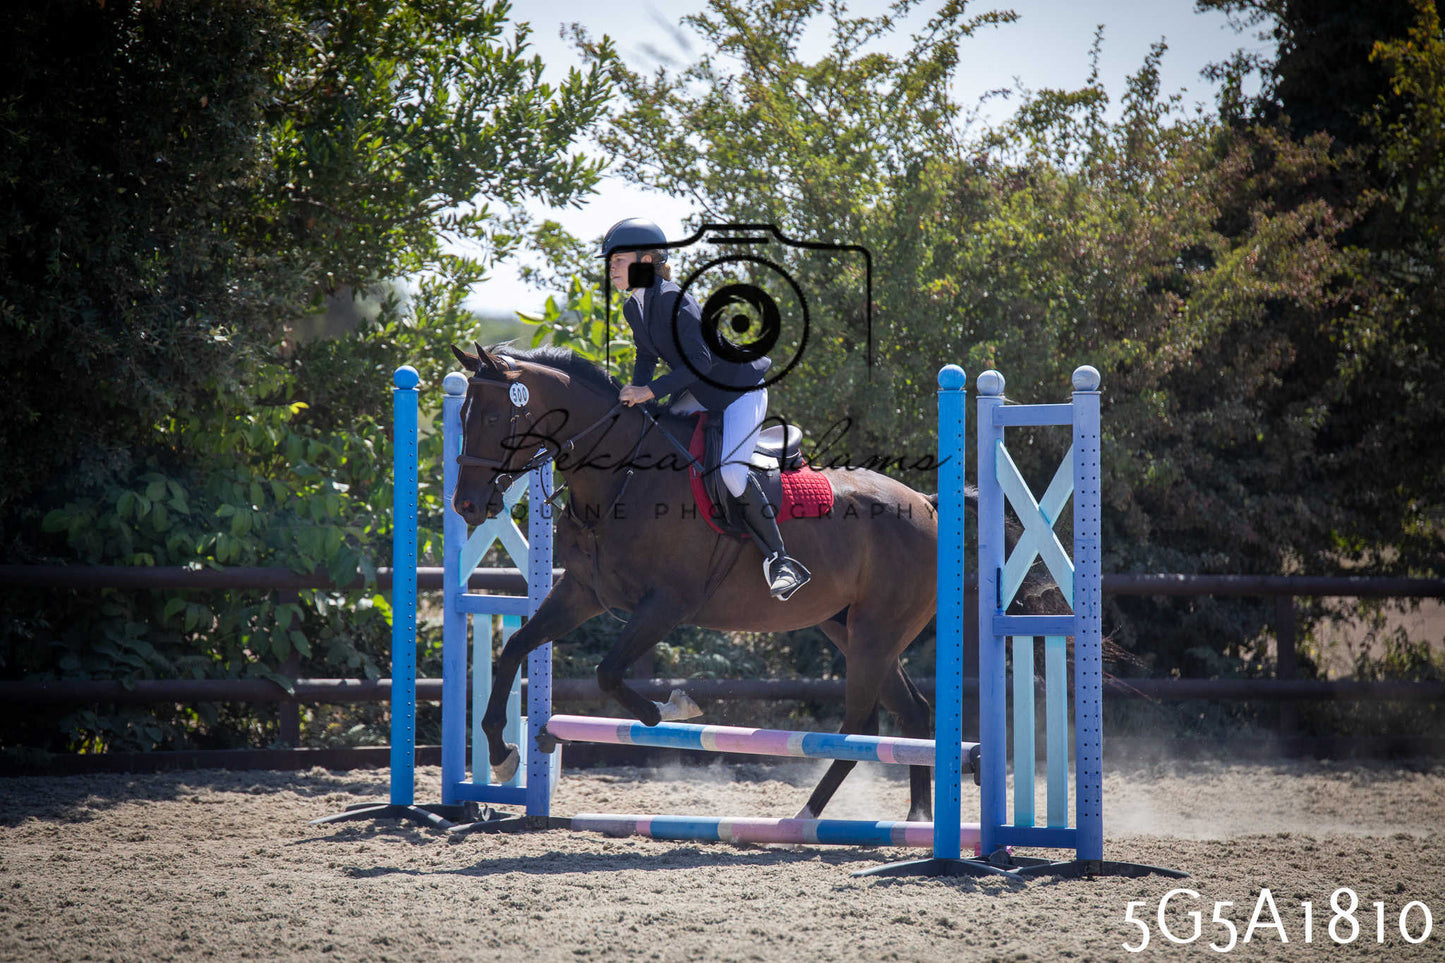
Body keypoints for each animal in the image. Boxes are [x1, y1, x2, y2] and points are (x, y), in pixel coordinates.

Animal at [450, 343, 946, 822]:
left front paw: (672, 707)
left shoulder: (667, 603)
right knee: (910, 713)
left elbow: (608, 674)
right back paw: (915, 816)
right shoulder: (582, 592)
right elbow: (516, 648)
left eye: (493, 417)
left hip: (876, 633)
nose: (466, 505)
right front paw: (503, 755)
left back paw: (807, 816)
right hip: (849, 628)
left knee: (860, 726)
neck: (623, 477)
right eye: (463, 417)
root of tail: (924, 502)